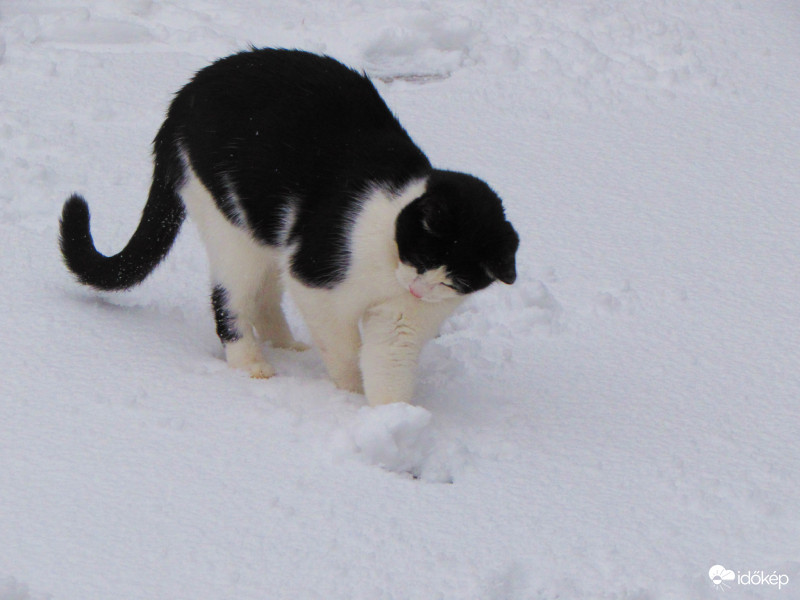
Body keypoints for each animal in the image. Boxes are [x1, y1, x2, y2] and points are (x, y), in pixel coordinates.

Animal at [57, 45, 520, 404]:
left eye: (453, 279)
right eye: (423, 254)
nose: (419, 288)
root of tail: (187, 92)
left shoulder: (401, 321)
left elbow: (387, 366)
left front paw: (393, 418)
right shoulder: (314, 281)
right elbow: (344, 348)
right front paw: (350, 395)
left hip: (266, 236)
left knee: (264, 295)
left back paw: (287, 347)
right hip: (233, 227)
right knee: (229, 300)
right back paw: (253, 364)